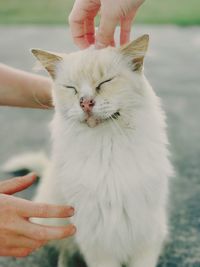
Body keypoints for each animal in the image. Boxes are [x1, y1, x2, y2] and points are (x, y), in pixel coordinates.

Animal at [23, 34, 173, 266]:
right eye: (71, 88)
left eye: (105, 82)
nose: (85, 102)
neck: (107, 147)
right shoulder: (96, 241)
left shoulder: (147, 236)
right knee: (65, 251)